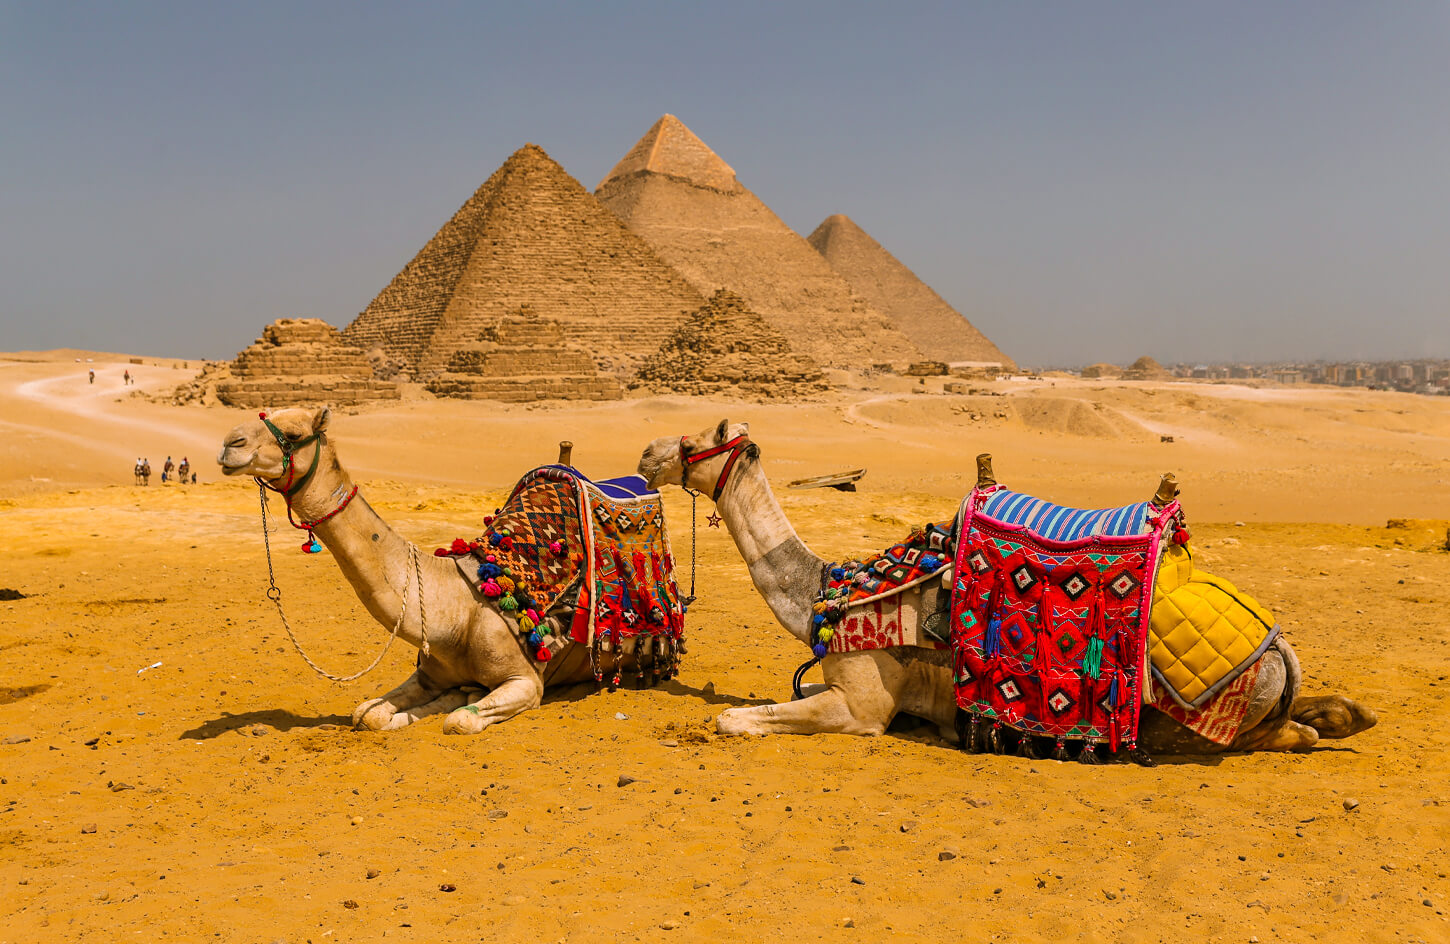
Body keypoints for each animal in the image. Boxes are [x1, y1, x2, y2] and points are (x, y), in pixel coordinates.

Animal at [218, 406, 660, 734]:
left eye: (293, 434)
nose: (229, 445)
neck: (456, 609)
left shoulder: (525, 682)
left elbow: (459, 722)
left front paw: (461, 702)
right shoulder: (429, 673)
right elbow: (369, 714)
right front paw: (432, 702)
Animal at [638, 420, 1377, 757]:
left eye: (697, 442)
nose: (647, 454)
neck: (830, 591)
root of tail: (1277, 650)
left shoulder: (864, 708)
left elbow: (734, 718)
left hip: (1196, 724)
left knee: (1282, 738)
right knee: (1310, 713)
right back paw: (1349, 713)